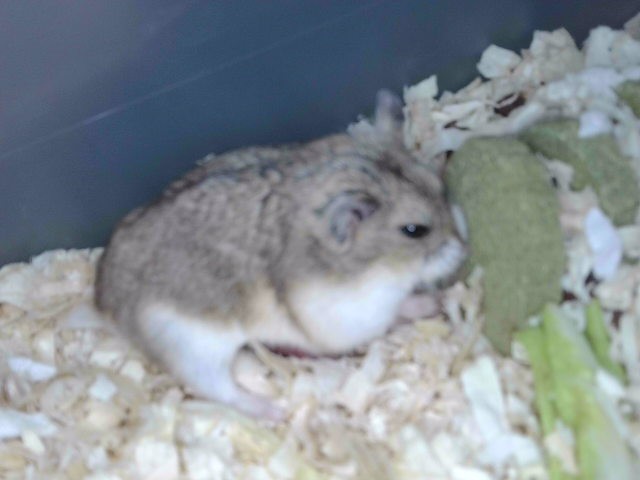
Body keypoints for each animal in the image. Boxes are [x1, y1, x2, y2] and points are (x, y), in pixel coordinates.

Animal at [94, 106, 465, 420]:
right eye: (414, 230)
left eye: (442, 188)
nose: (464, 250)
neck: (378, 266)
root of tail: (102, 301)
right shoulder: (352, 315)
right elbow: (395, 313)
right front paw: (434, 301)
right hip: (191, 346)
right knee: (216, 388)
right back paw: (273, 412)